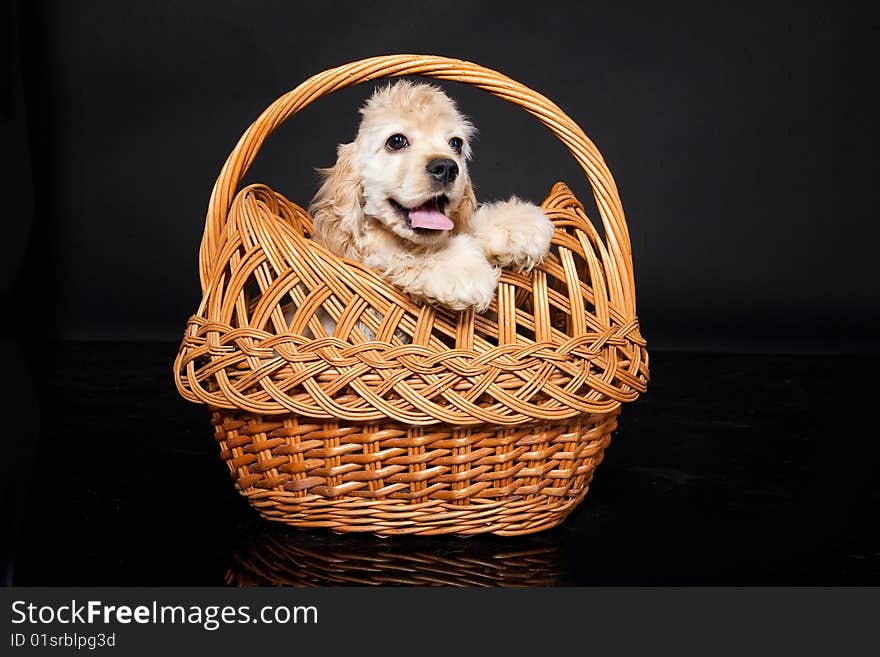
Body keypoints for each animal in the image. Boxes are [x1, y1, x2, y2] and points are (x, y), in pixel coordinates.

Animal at [310, 80, 552, 312]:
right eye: (396, 141)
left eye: (456, 143)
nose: (446, 167)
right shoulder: (370, 253)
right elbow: (397, 253)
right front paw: (463, 269)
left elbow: (467, 228)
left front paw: (520, 225)